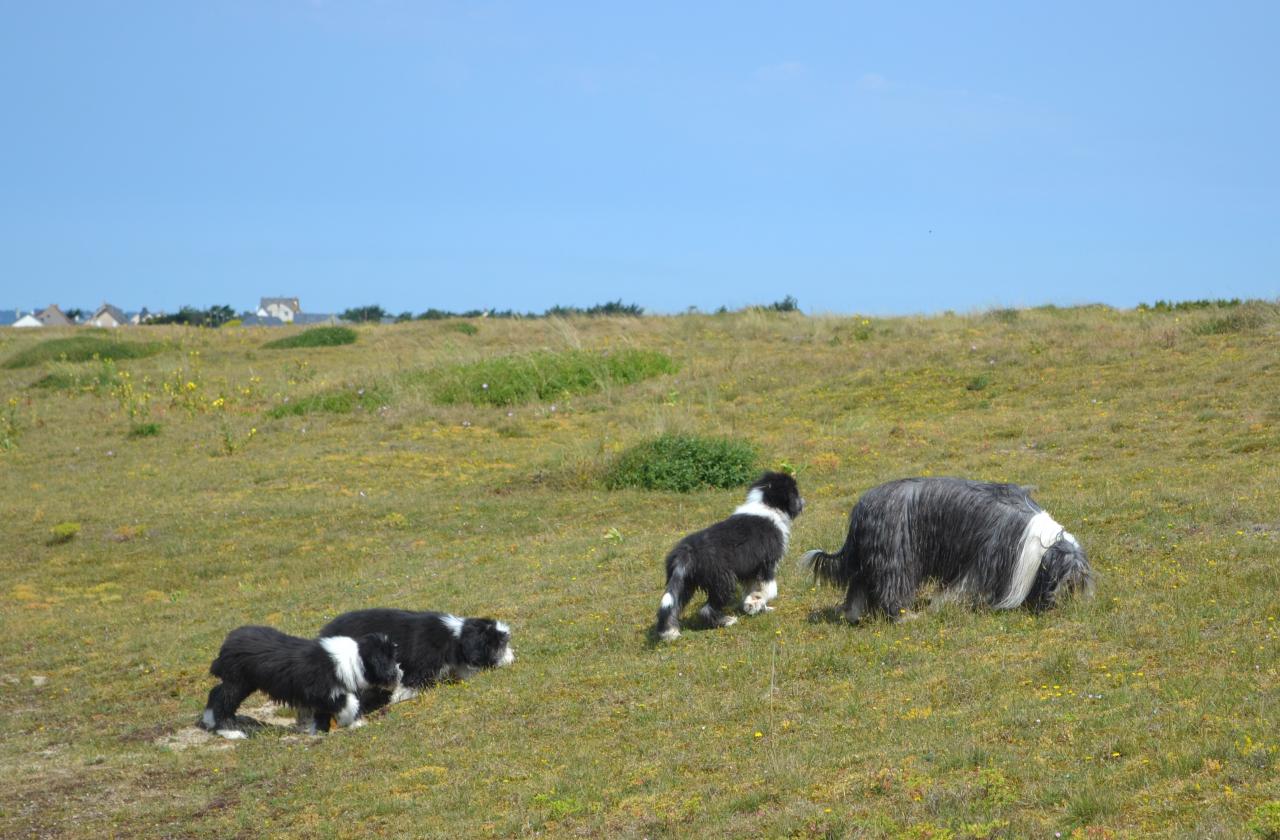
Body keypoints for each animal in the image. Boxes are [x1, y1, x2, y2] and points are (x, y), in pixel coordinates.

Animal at [197, 627, 399, 737]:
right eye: (389, 659)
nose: (399, 672)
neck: (354, 658)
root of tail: (226, 644)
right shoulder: (322, 691)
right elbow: (349, 702)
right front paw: (354, 722)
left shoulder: (323, 699)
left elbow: (322, 716)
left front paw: (319, 733)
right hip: (237, 682)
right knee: (223, 700)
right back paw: (230, 731)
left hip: (242, 682)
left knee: (216, 692)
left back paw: (210, 720)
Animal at [317, 606, 512, 717]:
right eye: (498, 645)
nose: (512, 658)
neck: (453, 636)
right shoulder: (420, 665)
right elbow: (411, 684)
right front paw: (397, 698)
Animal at [655, 468, 803, 640]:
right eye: (795, 492)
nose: (803, 502)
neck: (766, 505)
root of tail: (685, 553)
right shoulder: (767, 563)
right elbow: (767, 589)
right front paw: (756, 603)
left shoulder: (750, 569)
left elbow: (751, 588)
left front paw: (756, 607)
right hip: (722, 580)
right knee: (706, 609)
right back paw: (727, 621)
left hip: (685, 583)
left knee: (674, 606)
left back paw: (670, 632)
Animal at [798, 476, 1090, 619]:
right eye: (1063, 578)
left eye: (1076, 582)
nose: (1057, 605)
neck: (1042, 541)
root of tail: (863, 506)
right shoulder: (986, 556)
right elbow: (964, 586)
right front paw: (940, 606)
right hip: (897, 555)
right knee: (891, 589)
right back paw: (906, 616)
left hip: (872, 555)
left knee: (858, 584)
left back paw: (852, 614)